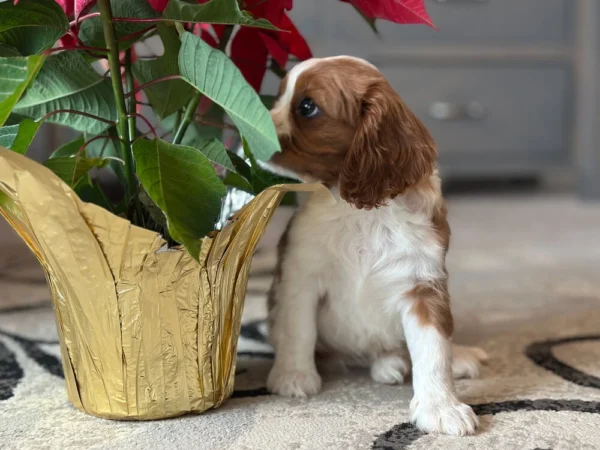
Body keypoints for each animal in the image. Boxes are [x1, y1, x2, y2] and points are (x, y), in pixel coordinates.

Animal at [264, 56, 486, 436]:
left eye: (307, 107)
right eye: (279, 96)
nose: (251, 120)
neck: (360, 213)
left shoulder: (423, 285)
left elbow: (434, 349)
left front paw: (441, 406)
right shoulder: (300, 275)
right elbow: (298, 330)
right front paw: (293, 375)